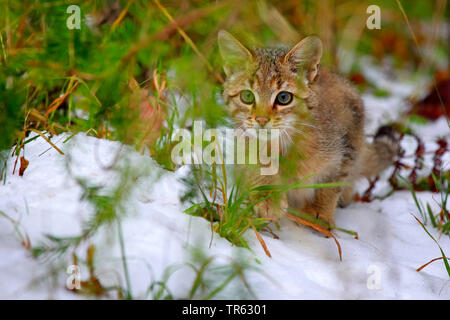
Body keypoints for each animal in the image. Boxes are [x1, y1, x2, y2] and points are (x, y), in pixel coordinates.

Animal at [218, 31, 398, 228]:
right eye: (247, 96)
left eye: (283, 98)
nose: (261, 119)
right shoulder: (245, 141)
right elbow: (256, 163)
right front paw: (267, 196)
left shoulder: (347, 141)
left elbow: (331, 184)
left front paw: (320, 210)